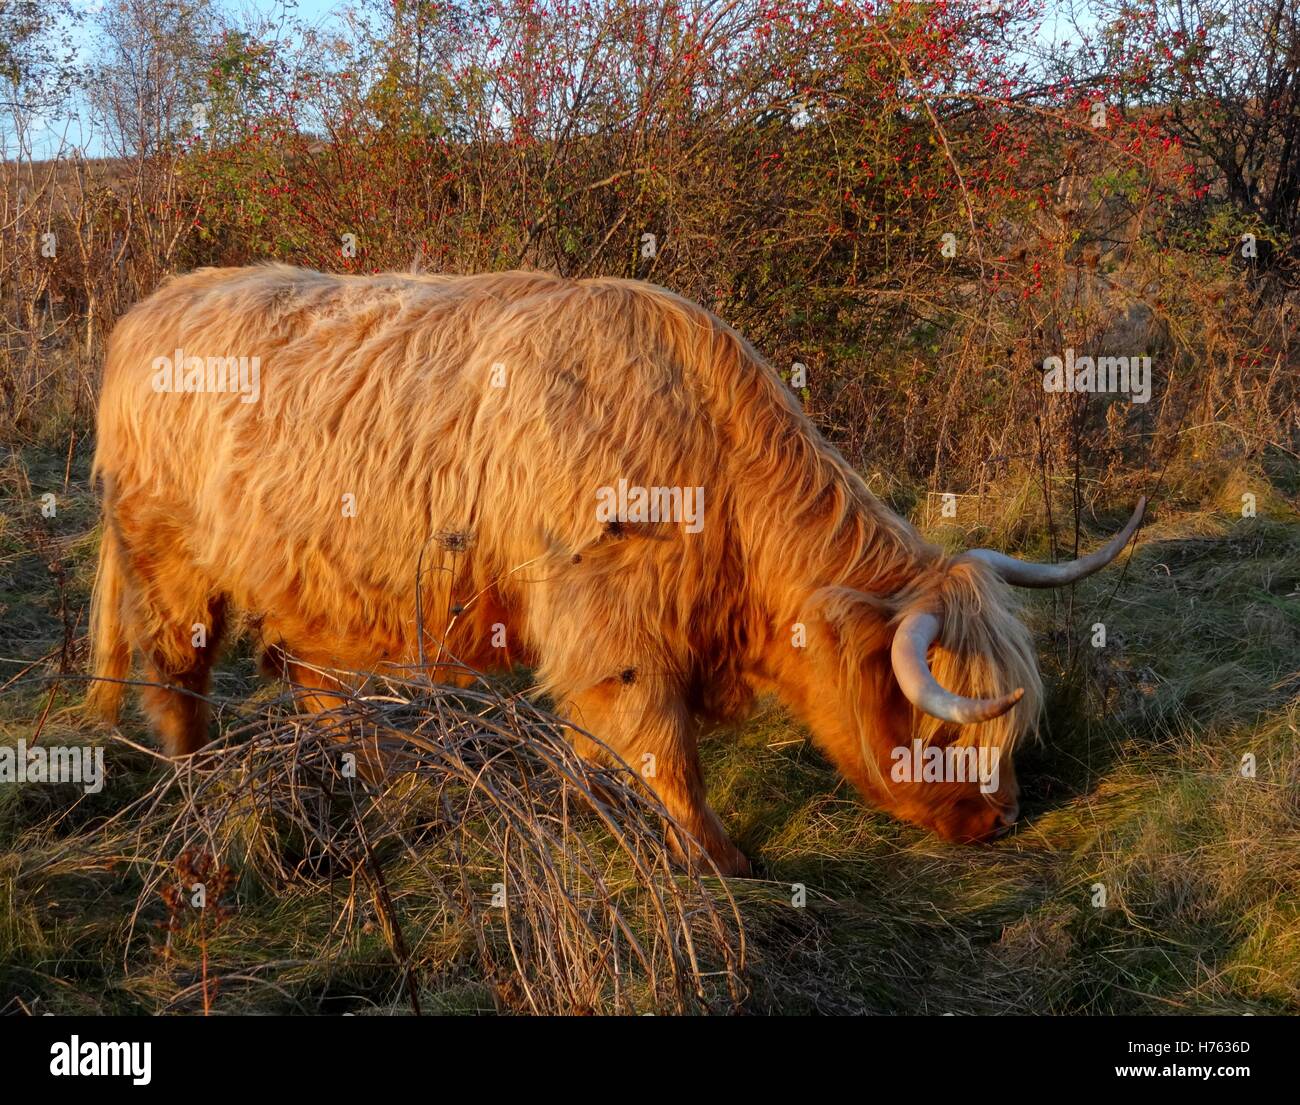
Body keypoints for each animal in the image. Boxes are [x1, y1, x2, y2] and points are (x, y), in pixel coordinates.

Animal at [87, 264, 1145, 876]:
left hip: (311, 578)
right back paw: (199, 782)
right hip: (169, 562)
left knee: (310, 674)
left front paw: (587, 807)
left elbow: (606, 746)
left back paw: (367, 775)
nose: (1000, 818)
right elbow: (659, 744)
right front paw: (721, 861)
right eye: (940, 724)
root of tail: (154, 304)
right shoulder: (611, 622)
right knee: (176, 675)